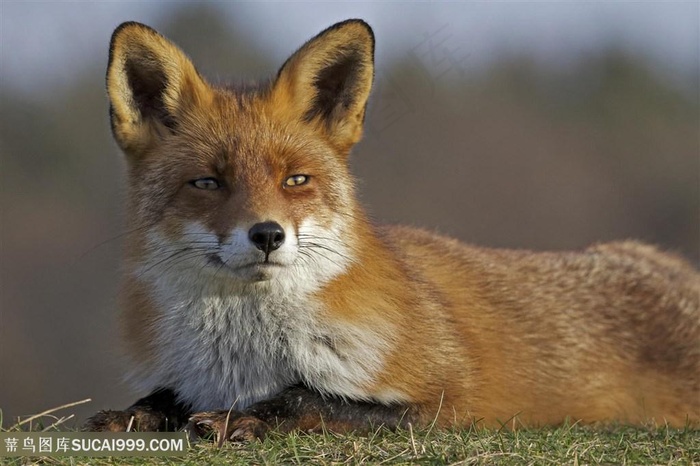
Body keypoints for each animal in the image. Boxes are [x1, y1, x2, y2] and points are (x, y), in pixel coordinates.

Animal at [85, 19, 696, 440]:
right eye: (208, 182)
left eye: (296, 179)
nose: (267, 235)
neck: (246, 361)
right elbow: (163, 397)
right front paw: (136, 414)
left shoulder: (453, 404)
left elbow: (309, 398)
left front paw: (245, 418)